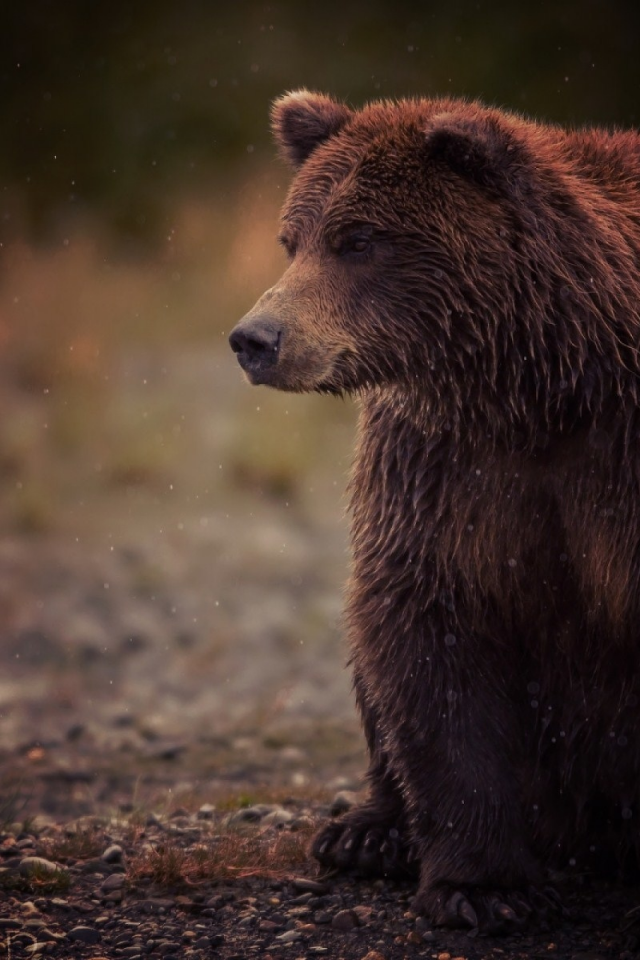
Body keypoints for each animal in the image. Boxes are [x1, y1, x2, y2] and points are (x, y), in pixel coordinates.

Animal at [228, 90, 640, 928]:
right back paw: (366, 833)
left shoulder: (607, 453)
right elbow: (428, 627)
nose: (256, 339)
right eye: (292, 240)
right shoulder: (444, 467)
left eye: (357, 240)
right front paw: (483, 886)